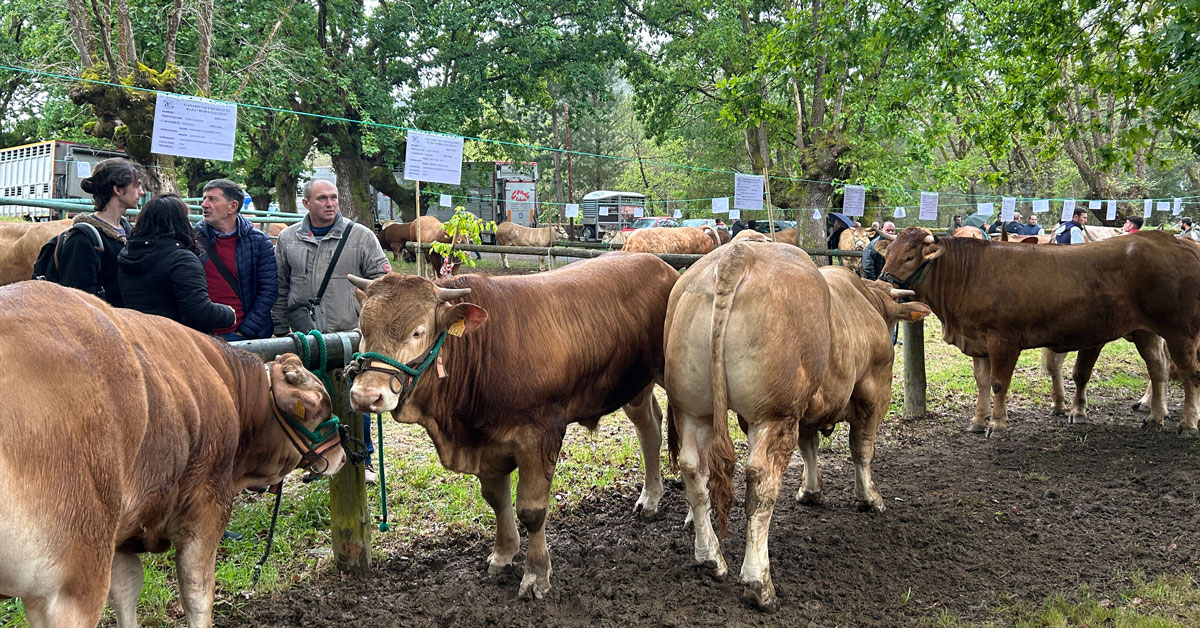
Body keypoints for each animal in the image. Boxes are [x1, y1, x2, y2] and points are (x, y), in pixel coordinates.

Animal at [0, 280, 348, 628]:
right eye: (316, 407)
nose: (342, 456)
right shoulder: (208, 504)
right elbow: (198, 592)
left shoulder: (124, 531)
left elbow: (126, 591)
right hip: (71, 579)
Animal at [350, 254, 686, 600]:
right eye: (361, 329)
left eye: (417, 332)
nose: (365, 395)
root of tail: (657, 263)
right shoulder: (484, 441)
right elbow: (497, 500)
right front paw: (503, 554)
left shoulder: (539, 436)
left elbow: (531, 510)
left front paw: (536, 575)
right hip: (635, 387)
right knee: (650, 430)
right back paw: (650, 499)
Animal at [878, 229, 1195, 437]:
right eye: (887, 254)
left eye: (909, 256)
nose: (882, 283)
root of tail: (1174, 241)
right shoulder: (977, 340)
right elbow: (982, 382)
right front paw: (978, 421)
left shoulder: (1002, 339)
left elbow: (998, 383)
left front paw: (997, 425)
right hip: (1145, 331)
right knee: (1157, 369)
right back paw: (1155, 418)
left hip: (1180, 331)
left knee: (1189, 374)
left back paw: (1188, 424)